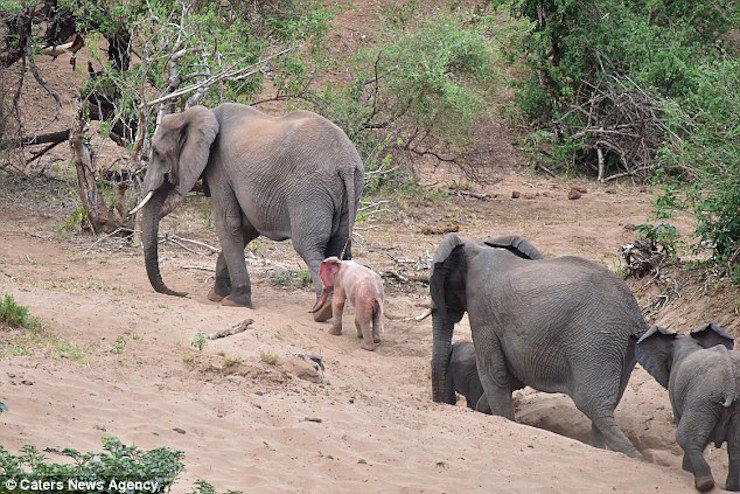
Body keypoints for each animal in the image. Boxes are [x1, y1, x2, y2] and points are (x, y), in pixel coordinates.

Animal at [130, 103, 364, 311]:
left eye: (157, 153)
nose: (182, 294)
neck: (194, 114)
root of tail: (346, 163)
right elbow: (246, 227)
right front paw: (217, 295)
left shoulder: (219, 167)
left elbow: (228, 222)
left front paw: (234, 301)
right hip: (351, 190)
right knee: (335, 245)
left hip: (310, 190)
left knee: (309, 246)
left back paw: (322, 311)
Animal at [429, 233, 648, 458]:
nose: (445, 404)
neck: (475, 248)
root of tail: (635, 315)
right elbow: (512, 376)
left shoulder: (482, 310)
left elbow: (494, 374)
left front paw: (505, 419)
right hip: (622, 346)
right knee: (608, 406)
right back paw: (602, 449)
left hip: (596, 341)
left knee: (593, 405)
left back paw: (636, 457)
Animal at [636, 323, 738, 492]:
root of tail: (729, 381)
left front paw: (686, 471)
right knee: (736, 446)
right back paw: (731, 488)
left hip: (702, 398)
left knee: (685, 437)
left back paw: (704, 483)